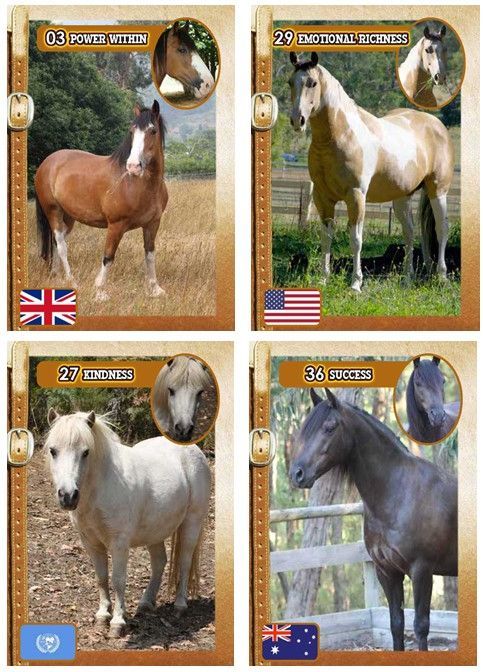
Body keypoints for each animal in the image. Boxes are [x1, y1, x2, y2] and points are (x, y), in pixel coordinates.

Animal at [34, 101, 168, 302]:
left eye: (152, 131)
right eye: (131, 131)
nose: (133, 166)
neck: (140, 184)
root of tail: (46, 163)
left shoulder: (152, 224)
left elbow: (150, 254)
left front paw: (155, 289)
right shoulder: (116, 225)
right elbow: (108, 256)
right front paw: (100, 291)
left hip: (68, 217)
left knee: (58, 243)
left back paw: (56, 276)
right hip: (53, 211)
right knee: (61, 244)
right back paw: (72, 280)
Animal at [44, 410, 211, 637]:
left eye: (86, 452)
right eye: (53, 451)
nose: (68, 496)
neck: (101, 487)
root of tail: (195, 451)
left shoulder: (119, 543)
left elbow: (118, 579)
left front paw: (117, 622)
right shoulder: (91, 543)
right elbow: (101, 577)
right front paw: (102, 616)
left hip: (191, 523)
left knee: (184, 562)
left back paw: (179, 606)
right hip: (155, 532)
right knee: (159, 562)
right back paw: (146, 603)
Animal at [288, 52, 454, 292]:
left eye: (312, 83)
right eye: (290, 82)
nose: (297, 120)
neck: (340, 136)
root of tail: (436, 124)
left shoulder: (356, 196)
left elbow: (356, 240)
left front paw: (355, 284)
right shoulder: (322, 197)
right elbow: (326, 237)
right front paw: (323, 279)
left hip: (437, 191)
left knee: (442, 229)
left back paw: (442, 277)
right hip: (402, 197)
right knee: (410, 232)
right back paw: (407, 278)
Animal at [289, 388, 457, 651]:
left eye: (329, 427)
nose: (296, 473)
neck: (399, 495)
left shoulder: (422, 571)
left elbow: (420, 626)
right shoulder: (386, 572)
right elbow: (396, 624)